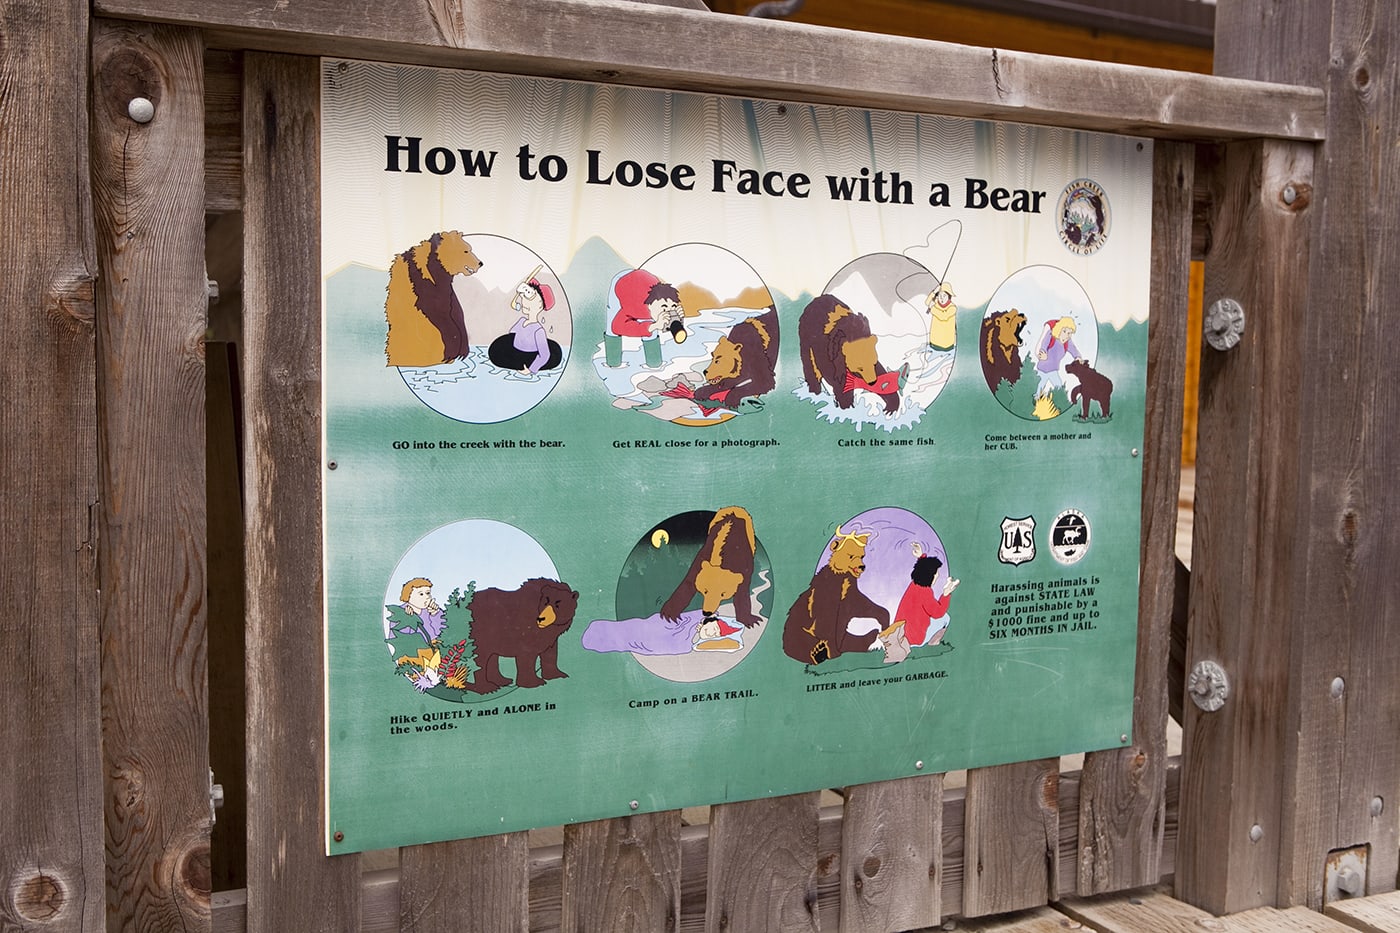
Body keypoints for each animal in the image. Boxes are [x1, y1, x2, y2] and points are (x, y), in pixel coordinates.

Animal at [386, 228, 484, 367]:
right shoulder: (423, 285)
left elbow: (455, 310)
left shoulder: (446, 289)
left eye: (470, 248)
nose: (480, 263)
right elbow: (436, 311)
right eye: (466, 250)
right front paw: (453, 350)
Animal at [784, 526, 890, 664]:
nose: (862, 567)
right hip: (795, 627)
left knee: (852, 639)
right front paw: (831, 652)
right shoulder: (826, 592)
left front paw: (884, 621)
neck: (842, 577)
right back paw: (818, 651)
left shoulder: (849, 592)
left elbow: (862, 606)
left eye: (862, 555)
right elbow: (826, 621)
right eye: (850, 555)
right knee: (799, 642)